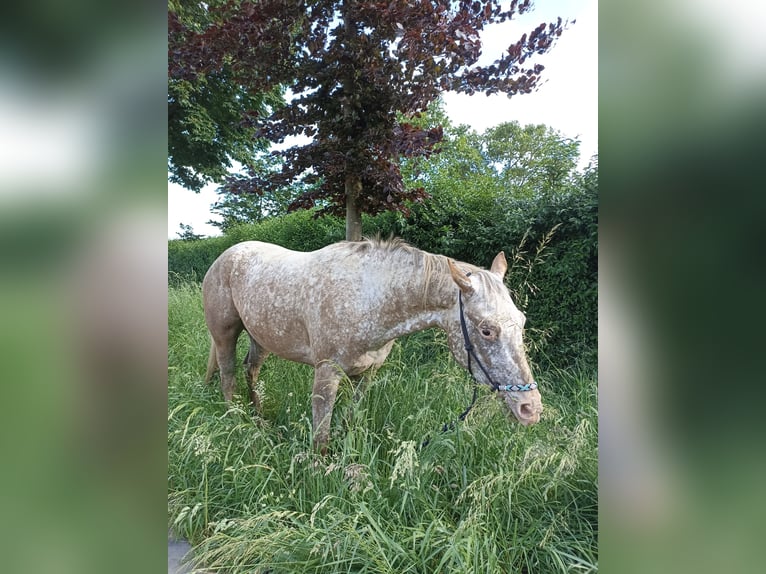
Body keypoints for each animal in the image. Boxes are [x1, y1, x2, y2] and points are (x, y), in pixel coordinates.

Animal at [201, 238, 544, 454]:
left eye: (522, 320)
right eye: (487, 330)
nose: (530, 409)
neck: (368, 299)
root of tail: (226, 256)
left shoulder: (366, 374)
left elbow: (351, 419)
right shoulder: (327, 373)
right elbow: (321, 434)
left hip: (260, 337)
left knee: (251, 371)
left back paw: (260, 419)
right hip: (225, 334)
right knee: (228, 376)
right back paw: (238, 423)